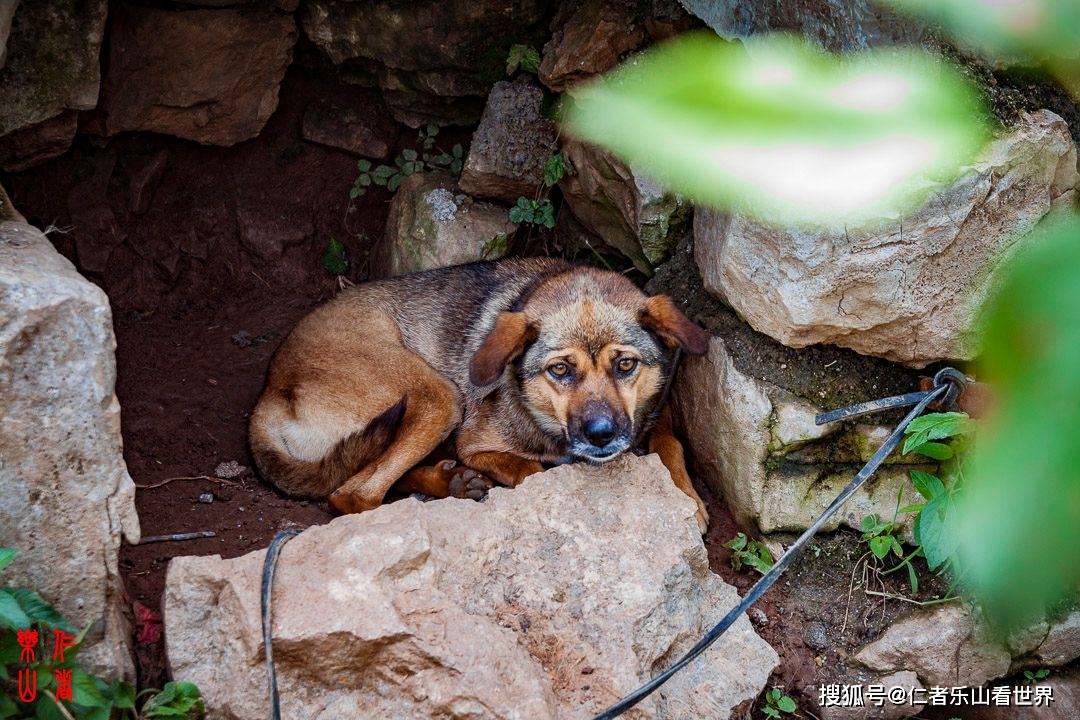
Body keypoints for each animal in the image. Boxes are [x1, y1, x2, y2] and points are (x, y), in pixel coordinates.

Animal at [248, 255, 712, 533]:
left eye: (625, 365)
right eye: (560, 370)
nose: (600, 434)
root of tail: (270, 390)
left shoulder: (655, 414)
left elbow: (669, 443)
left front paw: (686, 496)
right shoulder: (475, 442)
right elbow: (529, 468)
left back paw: (450, 481)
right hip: (440, 395)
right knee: (354, 493)